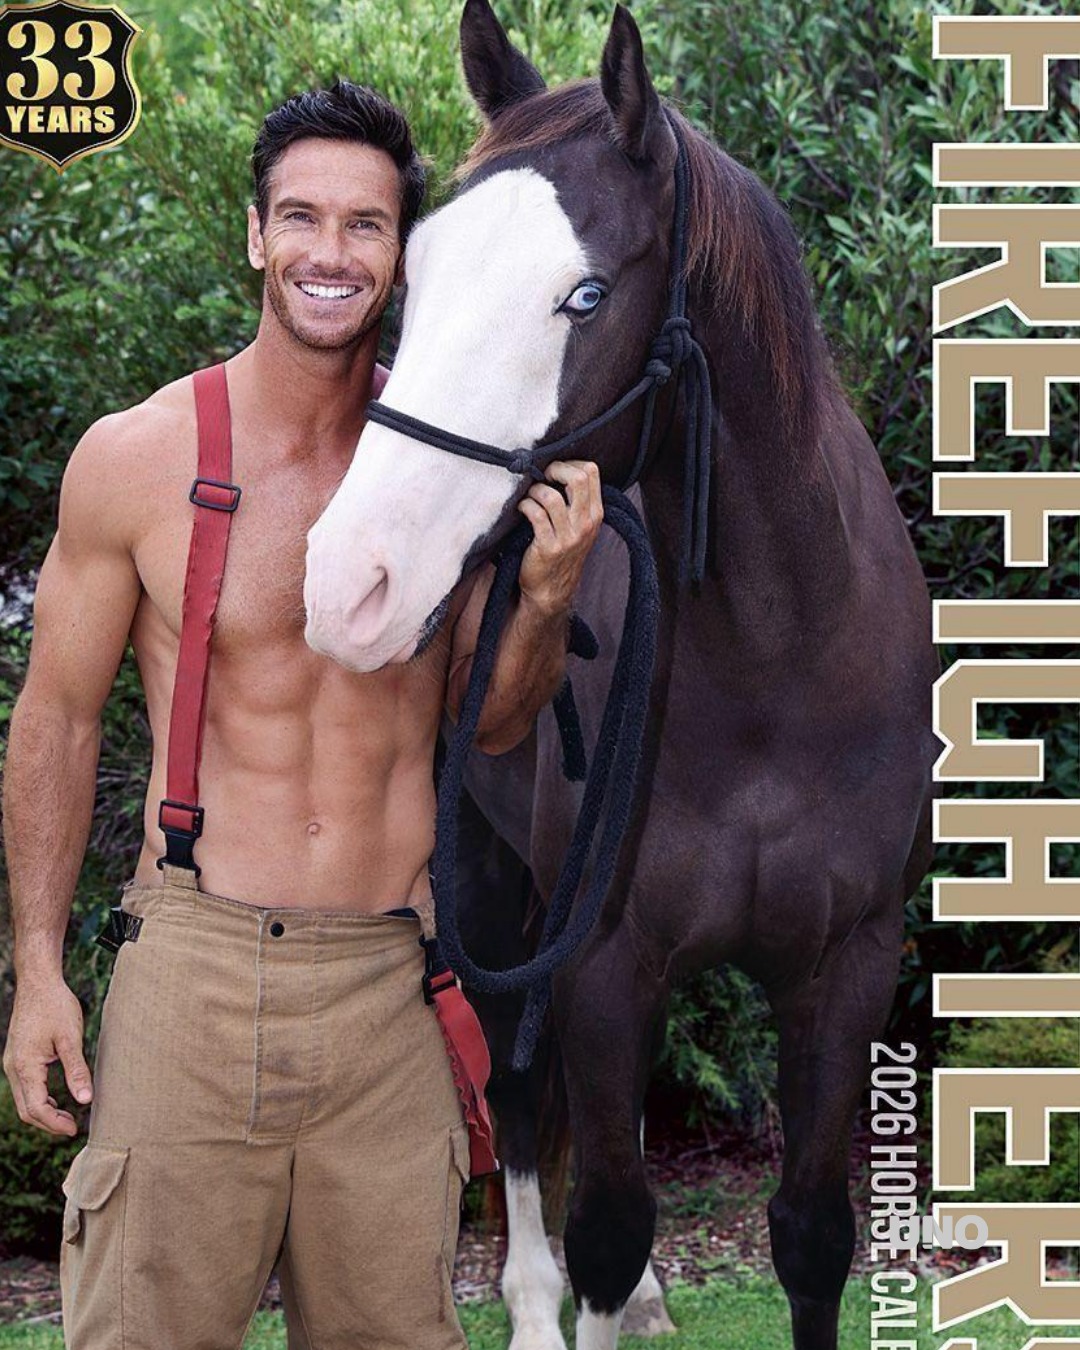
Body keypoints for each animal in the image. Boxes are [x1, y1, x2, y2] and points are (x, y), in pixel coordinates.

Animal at [303, 3, 938, 1348]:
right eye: (415, 271)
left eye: (585, 293)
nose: (349, 581)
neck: (772, 673)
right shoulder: (596, 959)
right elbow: (604, 1218)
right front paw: (579, 1295)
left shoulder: (849, 964)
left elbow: (813, 1236)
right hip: (488, 891)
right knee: (516, 1097)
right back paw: (539, 1309)